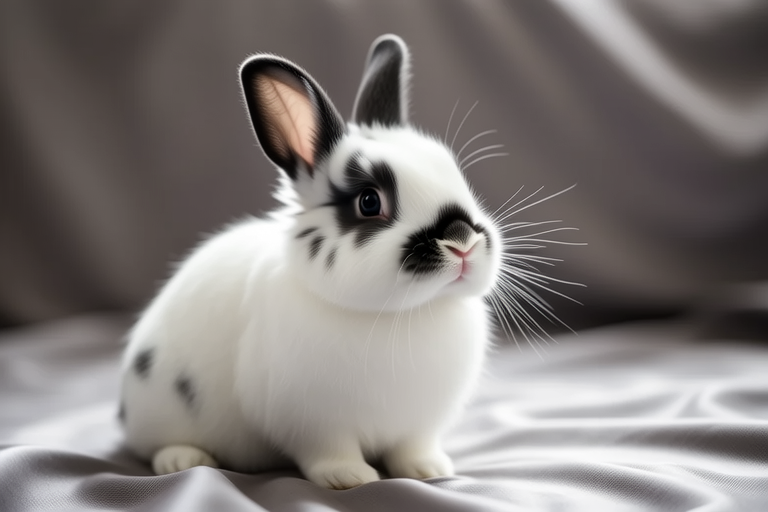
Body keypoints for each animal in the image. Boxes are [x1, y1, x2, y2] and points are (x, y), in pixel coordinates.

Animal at [119, 34, 503, 490]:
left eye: (455, 174)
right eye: (369, 202)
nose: (462, 242)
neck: (404, 314)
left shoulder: (419, 424)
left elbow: (412, 448)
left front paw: (429, 470)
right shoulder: (314, 423)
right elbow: (329, 451)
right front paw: (350, 478)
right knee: (154, 446)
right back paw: (181, 460)